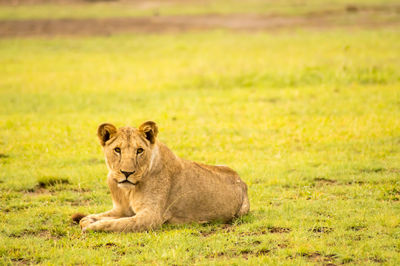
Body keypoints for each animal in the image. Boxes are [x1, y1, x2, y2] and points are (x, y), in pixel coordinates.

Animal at [78, 121, 250, 232]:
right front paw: (90, 219)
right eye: (117, 150)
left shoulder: (150, 217)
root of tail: (242, 181)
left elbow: (118, 224)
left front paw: (93, 226)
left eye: (139, 150)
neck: (128, 191)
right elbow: (94, 218)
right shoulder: (121, 209)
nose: (127, 173)